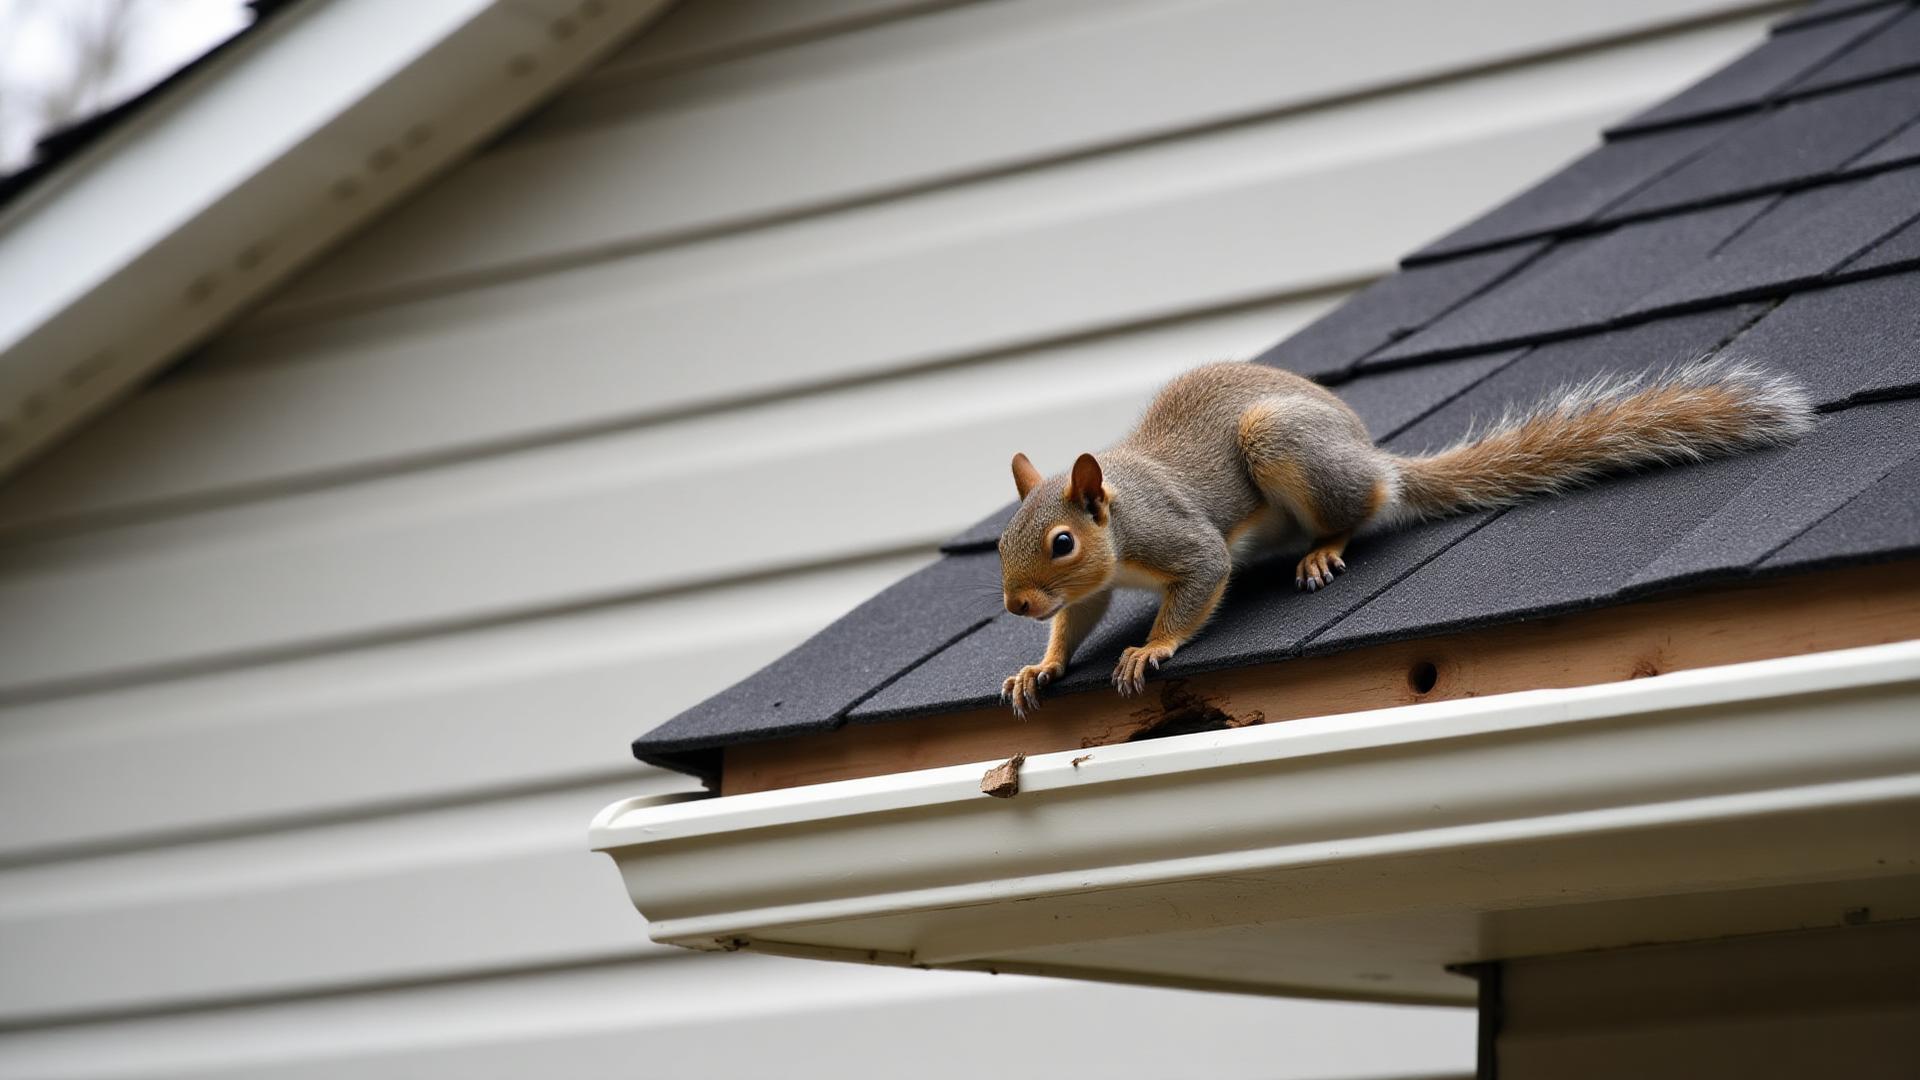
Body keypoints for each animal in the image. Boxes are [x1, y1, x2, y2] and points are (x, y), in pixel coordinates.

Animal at [996, 358, 1813, 715]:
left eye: (1062, 542)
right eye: (1003, 545)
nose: (1015, 606)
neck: (1120, 514)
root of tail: (1374, 456)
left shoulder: (1178, 535)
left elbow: (1203, 575)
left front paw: (1151, 647)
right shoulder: (1092, 590)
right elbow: (1077, 619)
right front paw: (1041, 667)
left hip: (1285, 445)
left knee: (1364, 508)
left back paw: (1327, 547)